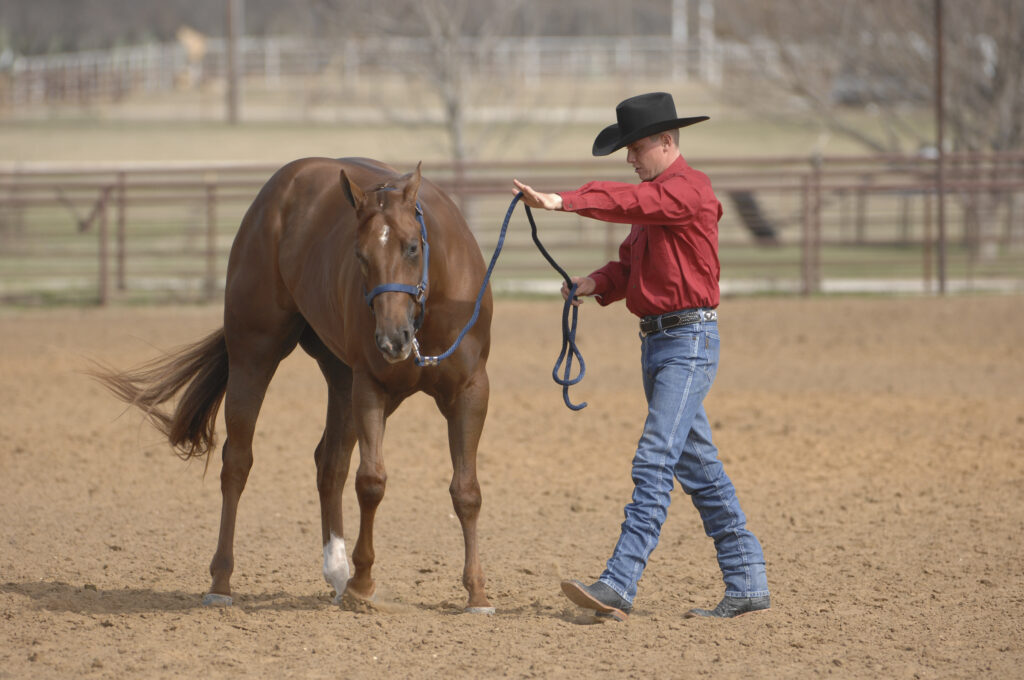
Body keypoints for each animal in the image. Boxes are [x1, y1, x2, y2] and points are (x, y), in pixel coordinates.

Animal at [94, 157, 493, 610]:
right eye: (360, 254)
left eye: (411, 247)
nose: (393, 339)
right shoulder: (370, 387)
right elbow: (371, 482)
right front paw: (363, 584)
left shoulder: (470, 392)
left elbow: (466, 490)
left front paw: (477, 592)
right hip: (255, 356)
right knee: (238, 462)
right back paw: (223, 582)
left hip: (341, 379)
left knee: (330, 462)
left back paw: (336, 572)